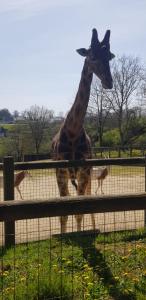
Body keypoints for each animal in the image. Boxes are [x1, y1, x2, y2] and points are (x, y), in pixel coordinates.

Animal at [52, 28, 114, 233]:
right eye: (92, 56)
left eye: (109, 57)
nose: (109, 82)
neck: (73, 130)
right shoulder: (60, 172)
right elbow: (63, 214)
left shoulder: (85, 171)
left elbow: (80, 211)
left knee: (89, 202)